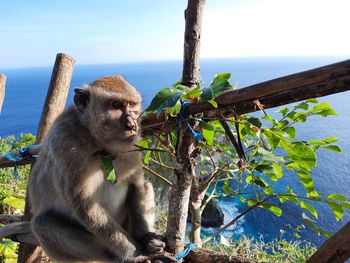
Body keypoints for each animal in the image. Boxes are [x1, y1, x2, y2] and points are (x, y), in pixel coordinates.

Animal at [28, 76, 175, 263]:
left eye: (132, 105)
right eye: (116, 105)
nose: (132, 125)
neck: (98, 143)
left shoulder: (133, 145)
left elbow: (136, 185)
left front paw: (146, 239)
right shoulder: (65, 143)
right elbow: (83, 204)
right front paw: (135, 252)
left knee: (146, 186)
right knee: (43, 224)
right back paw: (117, 257)